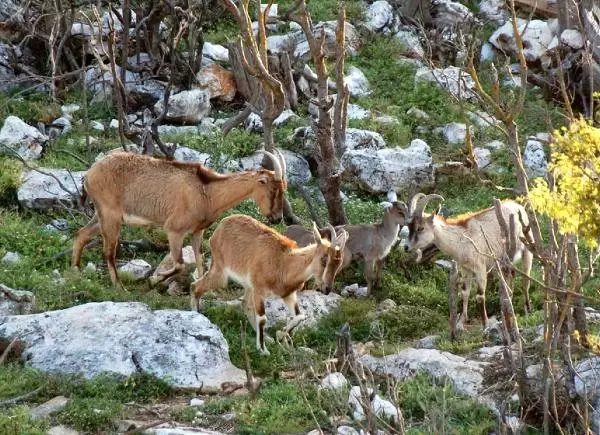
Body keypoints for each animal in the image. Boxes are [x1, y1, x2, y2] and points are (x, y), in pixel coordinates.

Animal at [71, 150, 288, 290]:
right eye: (272, 190)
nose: (277, 218)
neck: (207, 192)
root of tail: (89, 173)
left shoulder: (198, 231)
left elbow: (199, 260)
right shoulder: (174, 230)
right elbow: (180, 264)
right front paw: (154, 281)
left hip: (101, 215)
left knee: (81, 234)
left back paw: (76, 271)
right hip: (111, 216)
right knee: (108, 251)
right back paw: (119, 287)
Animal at [190, 215, 350, 354]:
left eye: (339, 263)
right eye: (324, 259)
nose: (326, 289)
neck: (284, 263)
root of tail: (220, 228)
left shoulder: (288, 294)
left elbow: (300, 316)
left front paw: (280, 335)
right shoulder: (259, 290)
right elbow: (263, 318)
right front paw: (263, 350)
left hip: (247, 286)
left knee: (245, 304)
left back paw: (267, 337)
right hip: (221, 273)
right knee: (195, 286)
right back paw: (196, 315)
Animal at [406, 194, 532, 328]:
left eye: (421, 228)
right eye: (409, 227)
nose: (406, 247)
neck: (461, 240)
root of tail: (518, 206)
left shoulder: (480, 268)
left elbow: (480, 296)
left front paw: (485, 323)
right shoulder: (466, 268)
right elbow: (465, 292)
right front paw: (462, 321)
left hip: (527, 248)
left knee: (526, 278)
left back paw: (527, 310)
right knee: (511, 275)